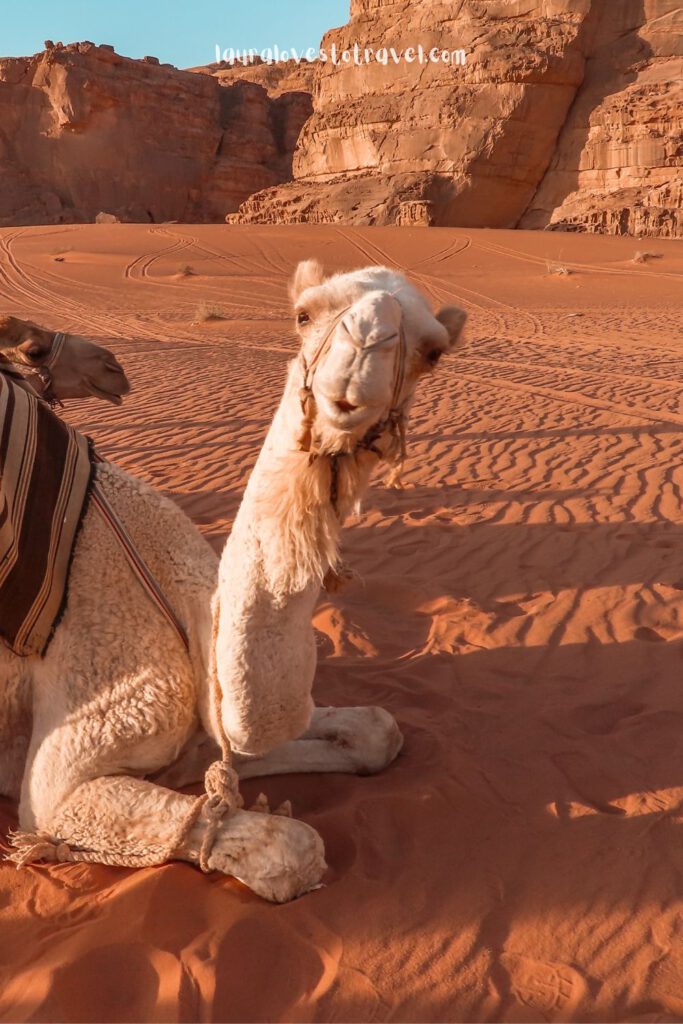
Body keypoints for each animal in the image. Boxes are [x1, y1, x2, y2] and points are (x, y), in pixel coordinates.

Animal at [2, 266, 466, 905]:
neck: (191, 627)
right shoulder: (62, 776)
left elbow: (375, 730)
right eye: (303, 314)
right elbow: (293, 848)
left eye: (433, 352)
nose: (360, 362)